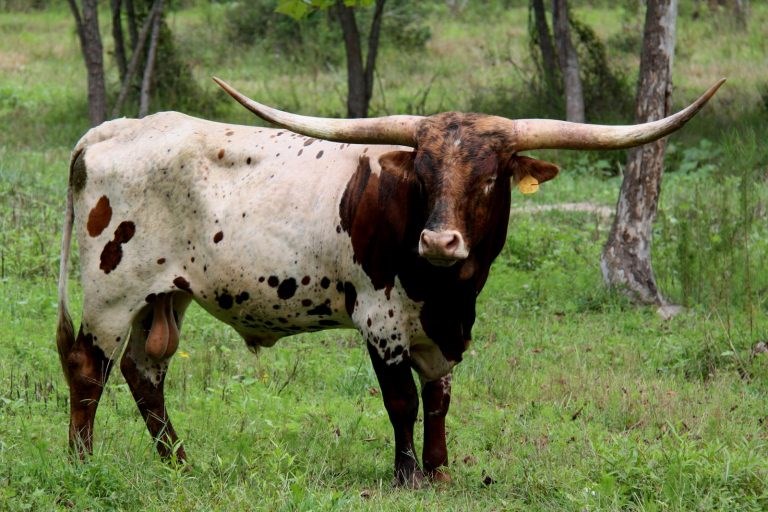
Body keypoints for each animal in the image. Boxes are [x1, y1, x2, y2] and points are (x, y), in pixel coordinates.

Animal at [56, 77, 724, 487]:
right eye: (424, 172)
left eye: (491, 177)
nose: (440, 241)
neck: (448, 291)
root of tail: (108, 131)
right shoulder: (380, 320)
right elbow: (402, 400)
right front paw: (406, 477)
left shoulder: (446, 331)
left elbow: (440, 398)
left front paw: (440, 471)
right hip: (110, 292)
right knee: (89, 368)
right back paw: (82, 466)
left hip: (163, 295)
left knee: (145, 373)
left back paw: (179, 465)